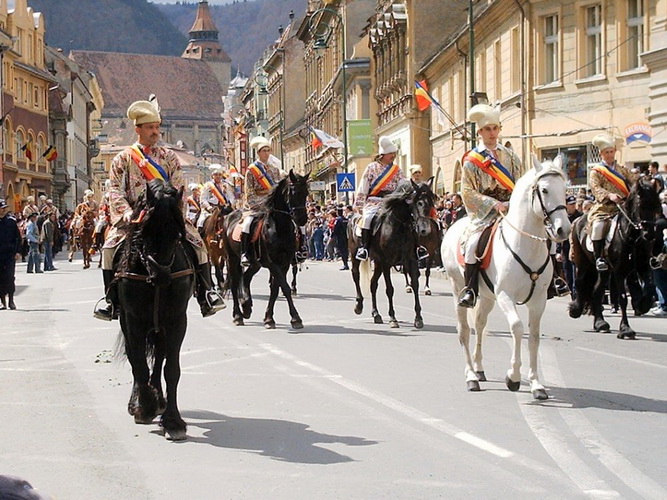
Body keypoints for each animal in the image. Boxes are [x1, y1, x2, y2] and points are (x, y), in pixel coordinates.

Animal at [115, 180, 196, 442]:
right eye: (146, 229)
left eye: (177, 233)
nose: (161, 276)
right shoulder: (133, 321)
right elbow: (138, 362)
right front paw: (144, 407)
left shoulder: (176, 321)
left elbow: (171, 369)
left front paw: (173, 420)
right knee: (136, 359)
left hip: (160, 327)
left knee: (159, 359)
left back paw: (159, 398)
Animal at [223, 170, 310, 330]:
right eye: (293, 192)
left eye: (306, 193)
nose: (302, 219)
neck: (280, 228)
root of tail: (228, 217)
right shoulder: (271, 262)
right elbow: (284, 287)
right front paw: (296, 318)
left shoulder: (285, 262)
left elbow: (276, 289)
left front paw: (269, 318)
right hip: (232, 259)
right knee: (234, 284)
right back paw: (238, 315)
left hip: (255, 263)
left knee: (246, 278)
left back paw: (246, 306)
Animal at [350, 180, 438, 328]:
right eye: (419, 202)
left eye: (432, 202)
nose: (425, 229)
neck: (399, 226)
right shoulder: (387, 262)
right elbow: (389, 289)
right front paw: (392, 318)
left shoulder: (411, 260)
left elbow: (415, 284)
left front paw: (418, 318)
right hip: (356, 255)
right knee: (356, 275)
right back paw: (358, 305)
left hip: (378, 262)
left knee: (373, 284)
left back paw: (376, 314)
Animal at [440, 156, 572, 398]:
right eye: (544, 190)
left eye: (564, 189)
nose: (563, 230)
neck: (525, 245)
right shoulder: (505, 295)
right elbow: (518, 328)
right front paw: (513, 377)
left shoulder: (538, 300)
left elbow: (534, 336)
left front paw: (536, 384)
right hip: (458, 288)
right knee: (464, 330)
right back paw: (471, 377)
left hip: (487, 297)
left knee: (480, 325)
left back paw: (479, 368)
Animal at [568, 177, 664, 340]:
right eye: (640, 205)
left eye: (657, 206)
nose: (649, 235)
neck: (632, 238)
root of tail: (578, 219)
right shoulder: (619, 272)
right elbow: (623, 298)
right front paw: (626, 329)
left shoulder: (643, 267)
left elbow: (650, 288)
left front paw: (642, 305)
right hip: (583, 263)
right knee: (580, 283)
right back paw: (576, 310)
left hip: (603, 271)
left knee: (596, 291)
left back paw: (600, 324)